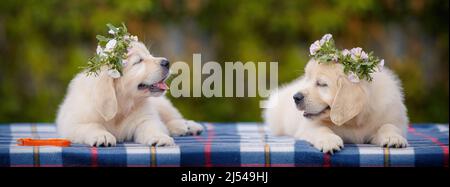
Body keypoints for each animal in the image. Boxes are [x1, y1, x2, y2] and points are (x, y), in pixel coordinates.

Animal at [55, 24, 203, 147]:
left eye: (150, 55)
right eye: (138, 61)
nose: (167, 62)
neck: (121, 105)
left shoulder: (145, 118)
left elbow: (153, 126)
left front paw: (160, 137)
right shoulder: (73, 123)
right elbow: (91, 126)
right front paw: (102, 136)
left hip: (162, 104)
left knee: (172, 117)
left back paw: (187, 126)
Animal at [264, 34, 408, 153]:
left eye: (322, 84)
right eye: (307, 79)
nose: (296, 97)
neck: (353, 122)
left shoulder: (392, 116)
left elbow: (389, 125)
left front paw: (393, 137)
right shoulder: (308, 126)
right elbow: (321, 129)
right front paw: (329, 141)